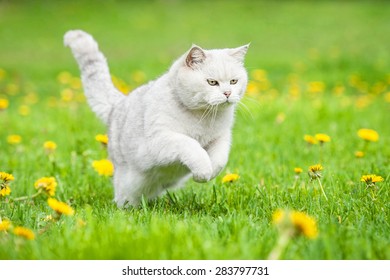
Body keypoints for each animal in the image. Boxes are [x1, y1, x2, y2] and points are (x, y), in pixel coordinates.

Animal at [62, 30, 248, 206]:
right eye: (212, 82)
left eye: (233, 81)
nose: (227, 93)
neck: (204, 117)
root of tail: (119, 103)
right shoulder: (160, 140)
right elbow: (191, 145)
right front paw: (203, 172)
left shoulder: (221, 138)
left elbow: (220, 159)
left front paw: (209, 173)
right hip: (128, 184)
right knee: (123, 199)